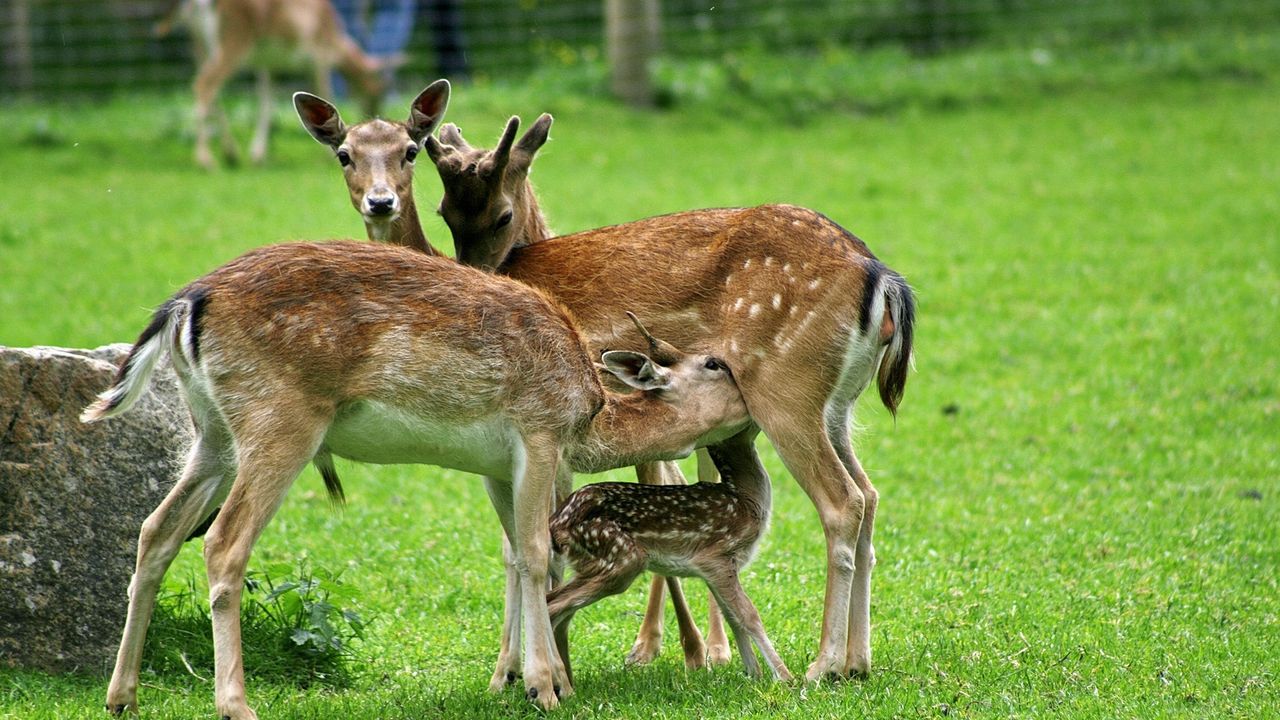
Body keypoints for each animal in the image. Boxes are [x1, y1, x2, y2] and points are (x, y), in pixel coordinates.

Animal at [80, 239, 747, 712]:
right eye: (718, 366)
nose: (756, 410)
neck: (588, 415)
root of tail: (185, 305)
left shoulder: (498, 464)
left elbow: (516, 555)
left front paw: (517, 680)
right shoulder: (537, 432)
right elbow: (535, 554)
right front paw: (545, 687)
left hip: (212, 434)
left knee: (156, 530)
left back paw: (121, 696)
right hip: (279, 420)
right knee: (223, 543)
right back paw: (235, 704)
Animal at [154, 0, 386, 167]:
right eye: (377, 90)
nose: (373, 116)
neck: (337, 44)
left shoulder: (267, 64)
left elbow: (266, 101)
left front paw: (259, 154)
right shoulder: (318, 57)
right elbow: (323, 92)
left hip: (199, 44)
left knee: (208, 88)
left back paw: (231, 154)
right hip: (234, 38)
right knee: (205, 84)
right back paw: (206, 159)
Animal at [296, 82, 742, 676]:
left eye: (408, 151)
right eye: (344, 154)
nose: (381, 201)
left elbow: (542, 542)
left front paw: (549, 667)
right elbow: (513, 546)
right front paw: (509, 667)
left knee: (680, 479)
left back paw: (704, 647)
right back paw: (654, 643)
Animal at [422, 113, 921, 681]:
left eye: (503, 214)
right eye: (443, 212)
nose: (476, 276)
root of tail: (883, 279)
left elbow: (521, 543)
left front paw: (517, 673)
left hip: (786, 392)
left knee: (842, 502)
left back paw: (822, 665)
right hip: (838, 407)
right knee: (871, 494)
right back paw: (858, 659)